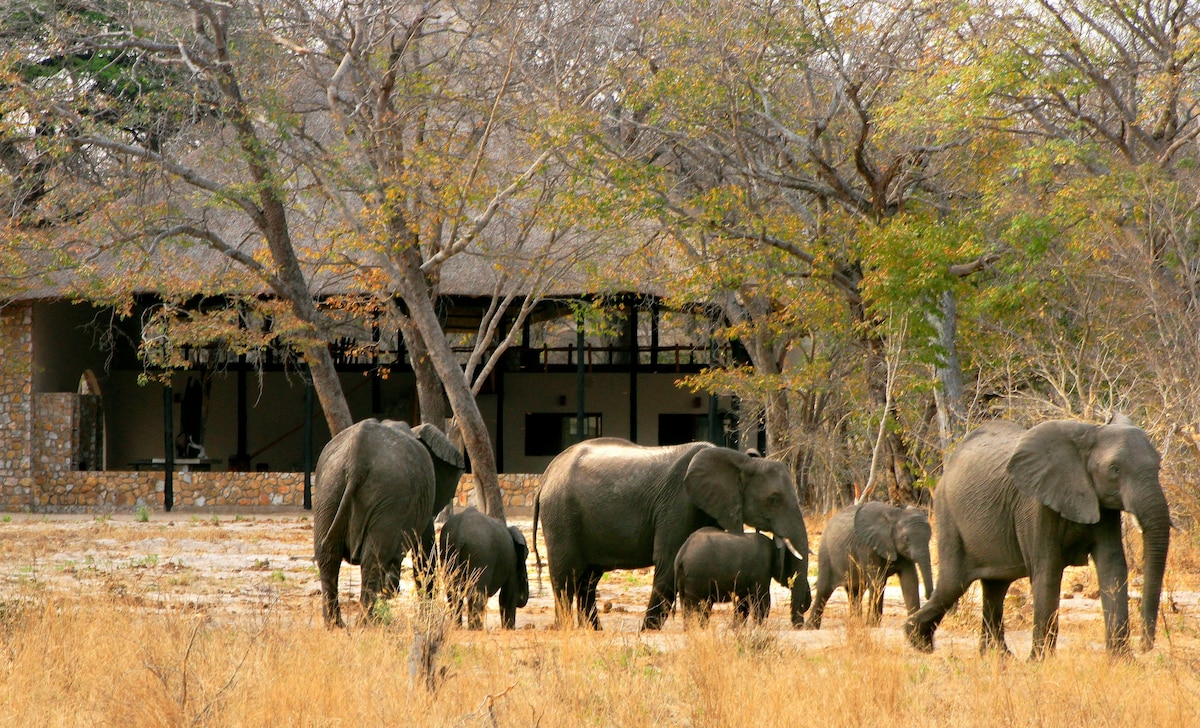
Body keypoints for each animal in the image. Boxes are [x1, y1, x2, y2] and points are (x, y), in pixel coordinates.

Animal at [314, 419, 463, 628]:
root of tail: (357, 458)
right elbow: (424, 554)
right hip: (388, 493)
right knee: (373, 559)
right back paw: (366, 622)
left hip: (329, 488)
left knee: (329, 554)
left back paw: (336, 624)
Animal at [672, 527, 811, 628]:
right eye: (791, 564)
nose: (805, 606)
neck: (773, 544)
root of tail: (681, 555)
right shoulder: (761, 570)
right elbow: (761, 599)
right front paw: (759, 627)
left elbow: (743, 603)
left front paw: (738, 628)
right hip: (696, 574)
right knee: (693, 605)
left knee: (692, 605)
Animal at [806, 503, 936, 628]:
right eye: (906, 539)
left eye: (929, 538)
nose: (929, 595)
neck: (895, 516)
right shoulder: (867, 546)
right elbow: (877, 582)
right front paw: (872, 625)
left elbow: (910, 581)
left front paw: (913, 625)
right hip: (826, 553)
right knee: (824, 589)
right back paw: (810, 627)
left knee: (855, 592)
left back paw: (856, 623)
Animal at [902, 414, 1166, 662]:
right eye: (1115, 469)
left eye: (1158, 467)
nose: (1146, 646)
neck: (1090, 433)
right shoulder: (1034, 505)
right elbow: (1047, 570)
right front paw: (1039, 662)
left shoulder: (1102, 505)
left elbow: (1112, 567)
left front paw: (1124, 661)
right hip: (947, 513)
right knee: (953, 582)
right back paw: (917, 641)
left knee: (994, 587)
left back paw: (998, 657)